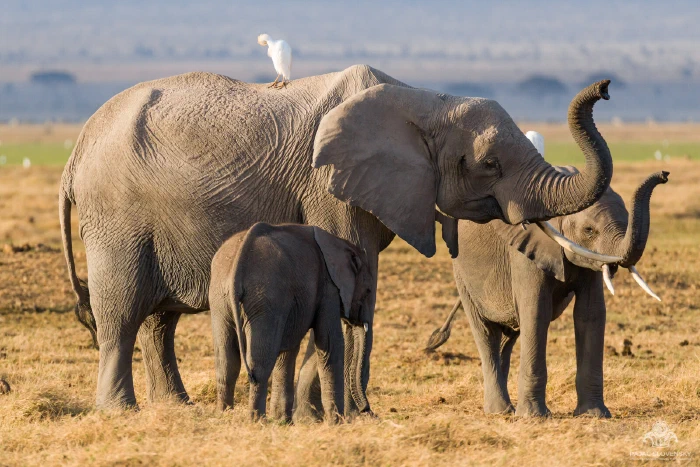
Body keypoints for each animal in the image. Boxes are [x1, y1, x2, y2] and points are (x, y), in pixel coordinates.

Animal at [208, 222, 372, 422]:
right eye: (368, 291)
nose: (367, 410)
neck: (341, 243)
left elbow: (288, 349)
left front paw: (283, 422)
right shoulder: (329, 287)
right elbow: (330, 344)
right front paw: (337, 422)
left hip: (219, 296)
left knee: (226, 362)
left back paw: (224, 414)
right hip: (266, 296)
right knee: (260, 363)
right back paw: (257, 420)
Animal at [428, 168, 669, 417]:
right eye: (589, 230)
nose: (664, 174)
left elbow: (590, 314)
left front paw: (593, 415)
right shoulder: (526, 253)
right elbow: (536, 312)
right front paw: (534, 417)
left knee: (508, 337)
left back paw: (508, 409)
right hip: (462, 275)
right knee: (486, 333)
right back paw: (500, 412)